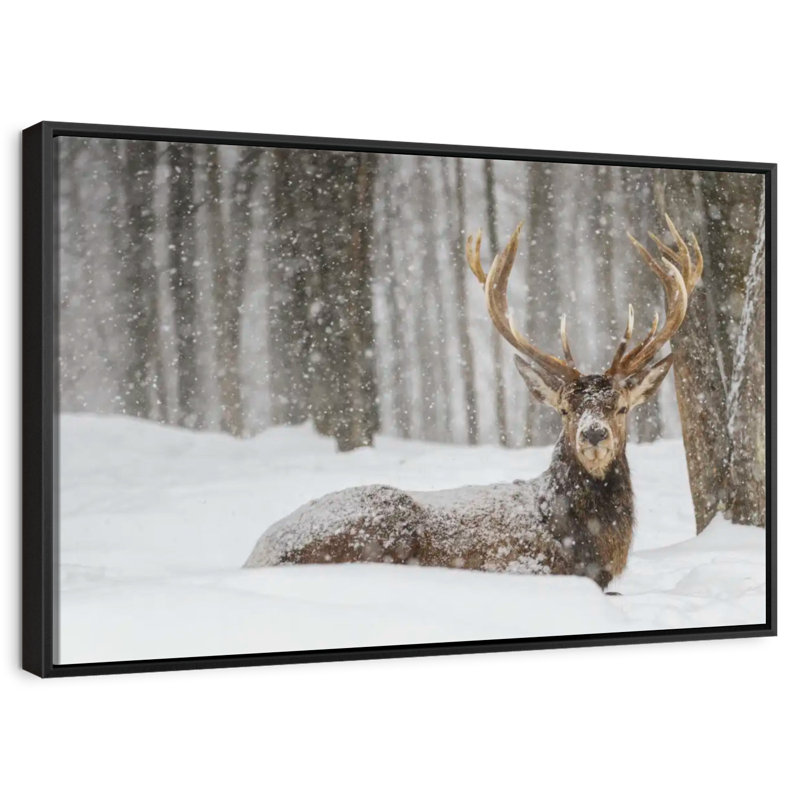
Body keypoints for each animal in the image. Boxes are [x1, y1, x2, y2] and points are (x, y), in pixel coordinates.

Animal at [245, 215, 702, 590]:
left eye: (622, 407)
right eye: (565, 410)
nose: (593, 434)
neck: (585, 544)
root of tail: (258, 555)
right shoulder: (526, 566)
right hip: (379, 526)